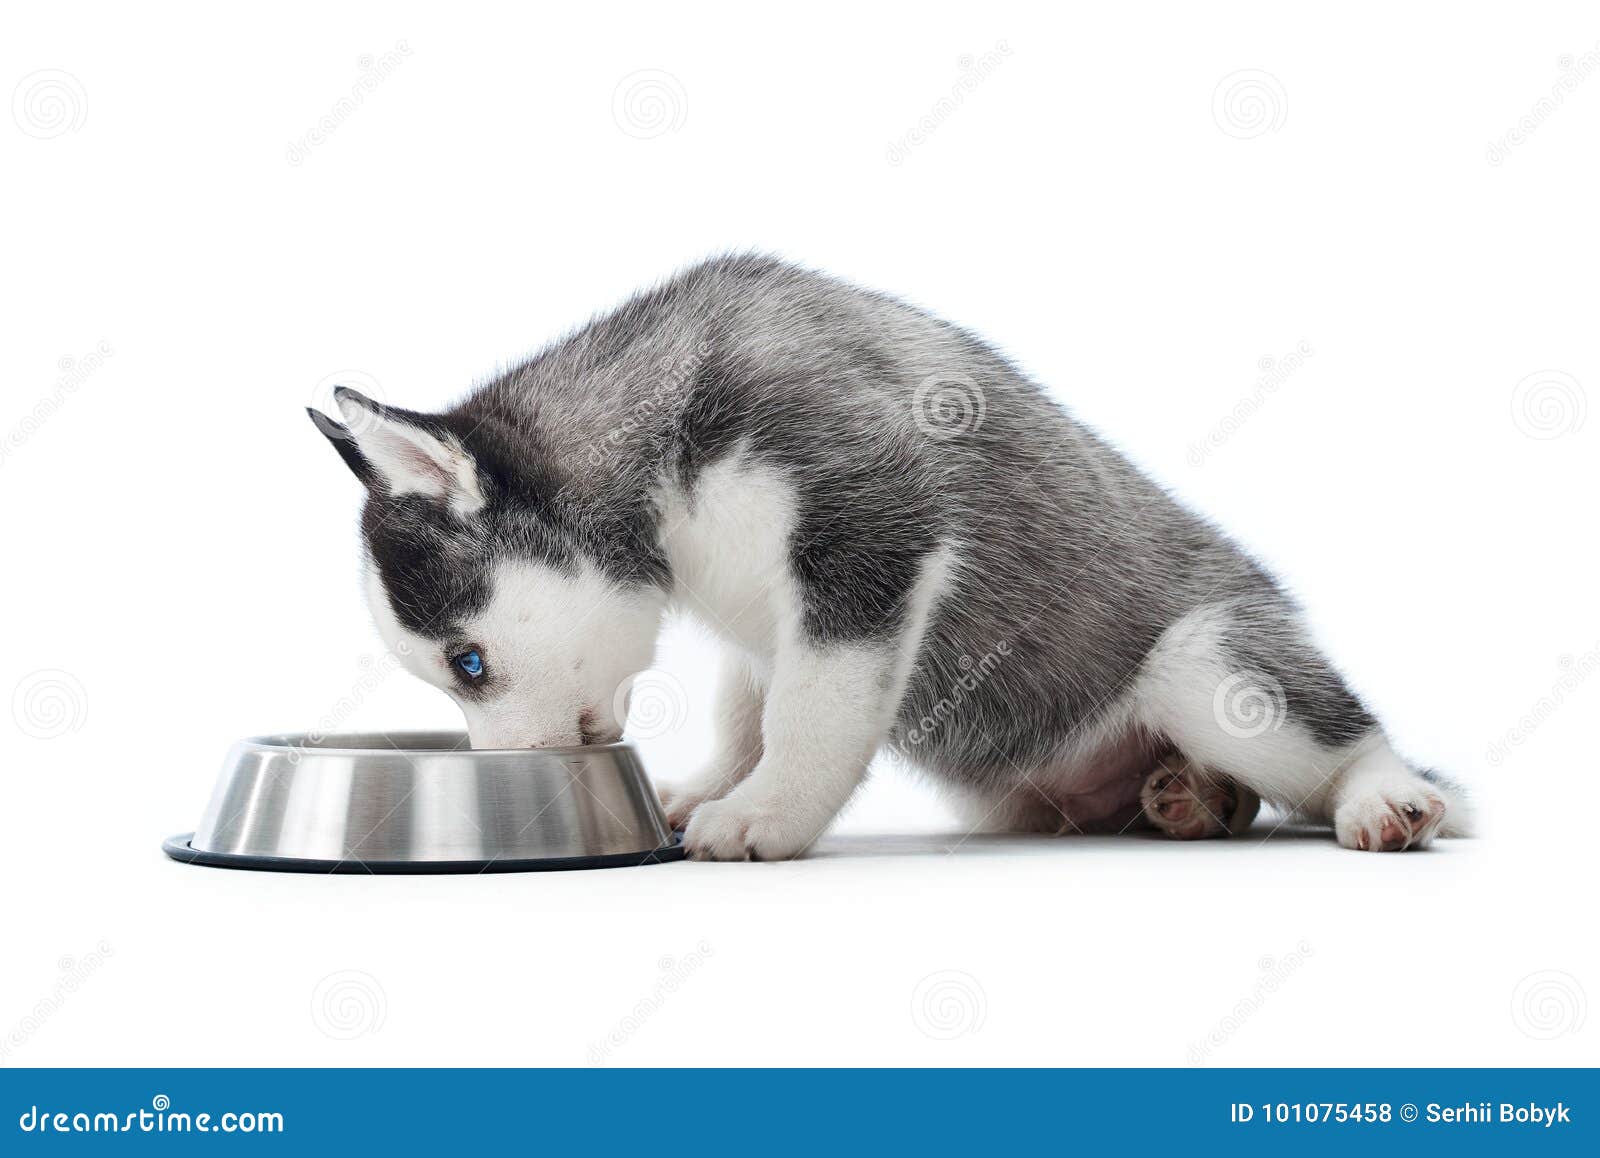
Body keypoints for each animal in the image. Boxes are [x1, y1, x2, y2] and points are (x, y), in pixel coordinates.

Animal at [305, 252, 1465, 857]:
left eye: (468, 664)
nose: (515, 789)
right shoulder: (766, 624)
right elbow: (750, 712)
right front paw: (715, 784)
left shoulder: (869, 535)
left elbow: (810, 716)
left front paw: (766, 812)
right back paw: (1189, 798)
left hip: (1211, 665)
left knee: (1336, 736)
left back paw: (1379, 796)